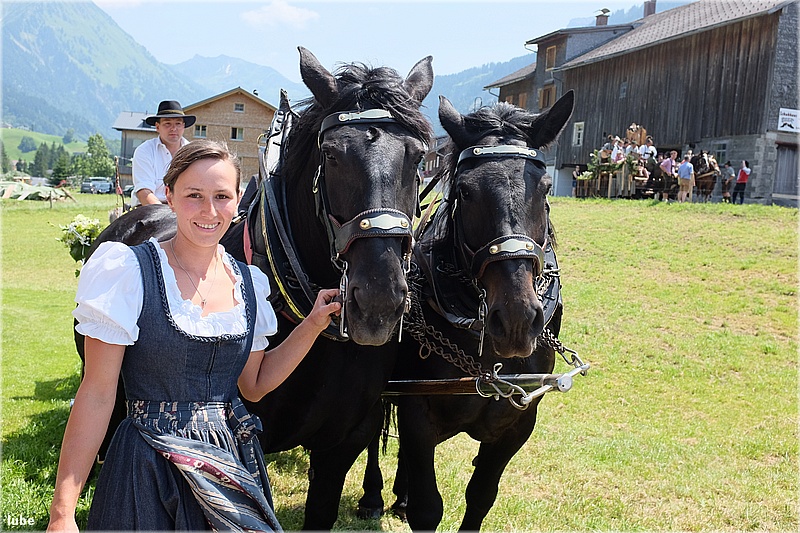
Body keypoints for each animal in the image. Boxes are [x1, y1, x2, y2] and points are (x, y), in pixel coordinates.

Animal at [360, 91, 577, 531]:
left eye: (546, 187)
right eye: (464, 190)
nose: (516, 320)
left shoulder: (519, 423)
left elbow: (481, 496)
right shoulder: (417, 410)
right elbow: (429, 507)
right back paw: (374, 495)